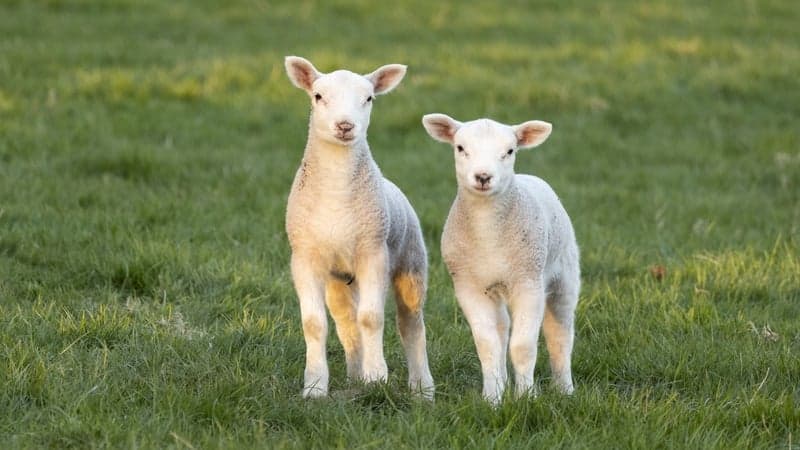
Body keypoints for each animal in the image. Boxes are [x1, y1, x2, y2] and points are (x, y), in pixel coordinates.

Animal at [283, 56, 434, 399]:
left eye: (369, 99)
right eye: (318, 96)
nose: (345, 126)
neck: (336, 194)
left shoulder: (373, 253)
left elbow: (372, 318)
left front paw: (377, 376)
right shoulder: (305, 257)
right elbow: (314, 323)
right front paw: (314, 386)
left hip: (411, 263)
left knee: (411, 324)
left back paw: (422, 389)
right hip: (338, 279)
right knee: (346, 321)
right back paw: (355, 376)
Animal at [421, 113, 580, 404]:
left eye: (509, 151)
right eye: (460, 148)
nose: (483, 176)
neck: (489, 235)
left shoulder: (529, 283)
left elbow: (523, 346)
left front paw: (527, 396)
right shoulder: (468, 287)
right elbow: (488, 345)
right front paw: (492, 398)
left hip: (564, 274)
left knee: (561, 333)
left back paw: (565, 389)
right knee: (503, 328)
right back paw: (504, 384)